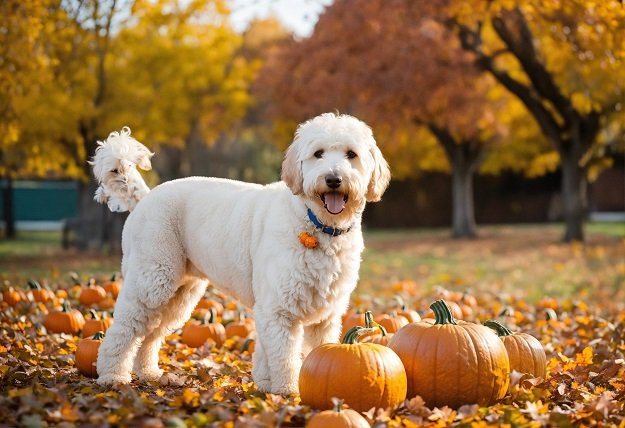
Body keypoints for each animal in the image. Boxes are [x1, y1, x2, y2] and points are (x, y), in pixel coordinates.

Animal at [89, 113, 390, 394]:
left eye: (351, 154)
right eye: (318, 153)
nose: (333, 179)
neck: (316, 223)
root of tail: (146, 197)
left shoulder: (324, 316)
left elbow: (297, 351)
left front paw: (267, 384)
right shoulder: (278, 308)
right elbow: (285, 356)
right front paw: (288, 391)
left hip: (179, 294)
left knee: (150, 334)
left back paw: (148, 372)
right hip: (152, 281)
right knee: (123, 329)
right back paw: (112, 375)